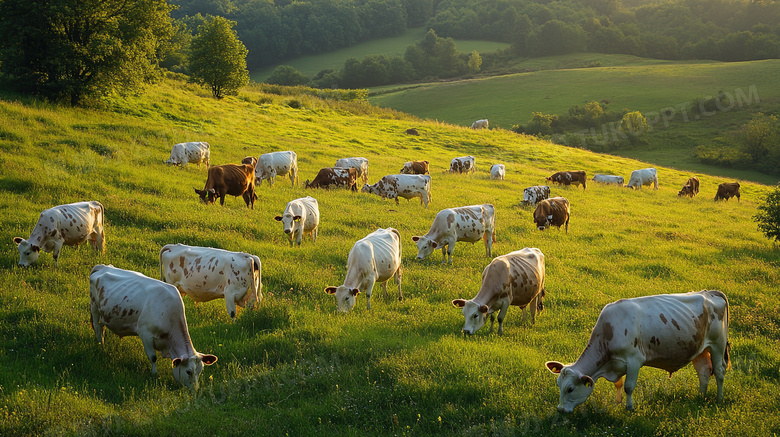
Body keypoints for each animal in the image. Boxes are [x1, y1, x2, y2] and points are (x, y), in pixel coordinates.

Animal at [90, 262, 218, 388]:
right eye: (188, 371)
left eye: (200, 372)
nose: (195, 390)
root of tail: (102, 266)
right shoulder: (145, 334)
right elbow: (153, 357)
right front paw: (154, 374)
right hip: (94, 307)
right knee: (97, 327)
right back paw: (101, 346)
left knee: (101, 327)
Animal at [544, 290, 732, 412]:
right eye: (558, 385)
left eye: (570, 389)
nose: (560, 410)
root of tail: (710, 292)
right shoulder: (617, 363)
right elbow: (618, 385)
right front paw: (618, 403)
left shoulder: (634, 360)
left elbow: (628, 386)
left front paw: (629, 408)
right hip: (700, 349)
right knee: (704, 372)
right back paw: (700, 397)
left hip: (718, 344)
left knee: (719, 371)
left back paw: (719, 399)